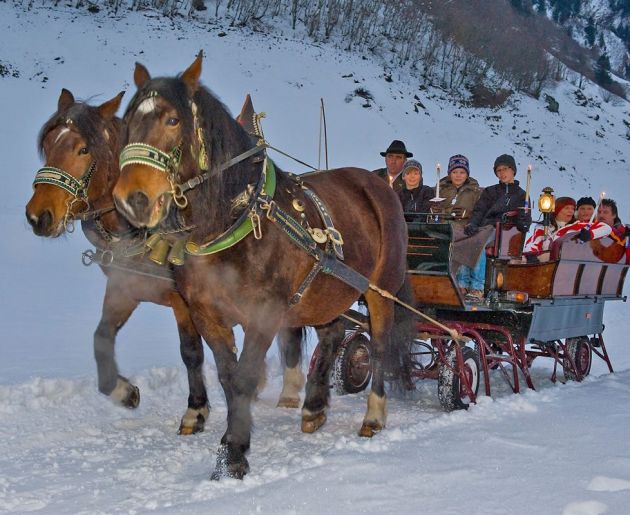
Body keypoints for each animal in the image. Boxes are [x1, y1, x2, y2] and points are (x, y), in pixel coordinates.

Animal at [111, 52, 412, 480]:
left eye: (172, 120)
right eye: (128, 122)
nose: (131, 198)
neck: (235, 220)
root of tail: (377, 184)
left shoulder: (265, 313)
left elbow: (245, 377)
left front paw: (233, 453)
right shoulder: (205, 313)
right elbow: (227, 375)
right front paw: (229, 441)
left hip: (379, 290)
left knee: (382, 344)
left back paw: (373, 415)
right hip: (325, 291)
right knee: (333, 333)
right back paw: (314, 406)